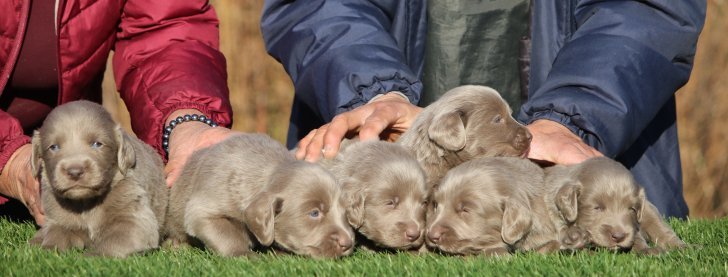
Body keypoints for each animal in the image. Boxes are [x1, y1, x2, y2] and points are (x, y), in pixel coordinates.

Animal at [29, 100, 167, 258]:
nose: (75, 171)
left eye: (97, 144)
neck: (85, 202)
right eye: (54, 147)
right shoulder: (59, 217)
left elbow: (114, 241)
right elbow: (56, 233)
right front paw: (48, 252)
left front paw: (91, 256)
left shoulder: (134, 217)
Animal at [168, 133, 356, 256]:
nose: (348, 243)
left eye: (345, 213)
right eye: (315, 213)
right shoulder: (203, 209)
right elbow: (225, 234)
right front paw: (244, 254)